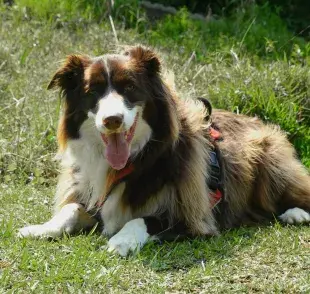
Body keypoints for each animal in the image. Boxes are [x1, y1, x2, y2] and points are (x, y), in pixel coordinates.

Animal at [18, 45, 310, 255]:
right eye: (93, 92)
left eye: (129, 87)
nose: (112, 120)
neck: (139, 158)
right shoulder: (94, 194)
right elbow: (70, 209)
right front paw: (40, 228)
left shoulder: (192, 214)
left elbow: (144, 219)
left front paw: (121, 240)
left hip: (268, 162)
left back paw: (295, 213)